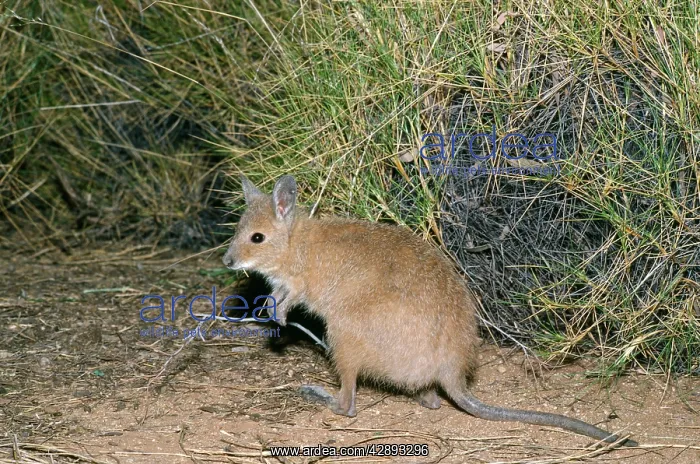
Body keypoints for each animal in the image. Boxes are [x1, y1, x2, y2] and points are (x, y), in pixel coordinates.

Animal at [222, 174, 636, 447]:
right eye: (238, 230)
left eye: (257, 238)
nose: (227, 261)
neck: (294, 242)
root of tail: (450, 372)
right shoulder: (284, 283)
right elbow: (276, 296)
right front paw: (272, 317)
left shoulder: (298, 283)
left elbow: (288, 298)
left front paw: (278, 319)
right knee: (432, 401)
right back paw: (424, 397)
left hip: (343, 334)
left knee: (349, 405)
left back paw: (318, 395)